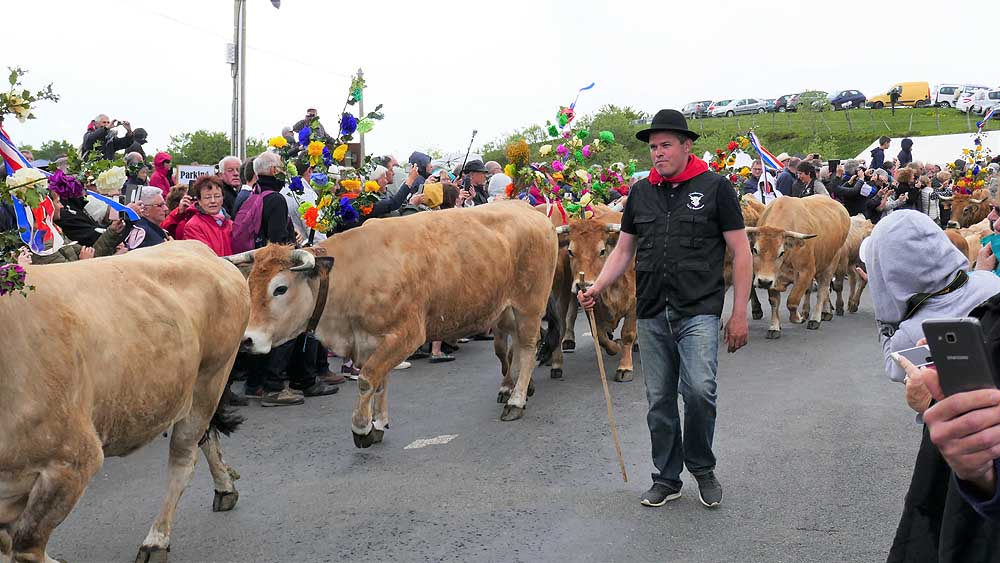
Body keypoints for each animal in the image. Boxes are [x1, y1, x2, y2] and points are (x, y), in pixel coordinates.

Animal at [0, 243, 248, 563]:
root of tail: (200, 249)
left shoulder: (72, 461)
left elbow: (27, 548)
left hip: (211, 379)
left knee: (184, 458)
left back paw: (156, 541)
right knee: (206, 438)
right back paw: (225, 486)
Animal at [229, 200, 560, 448]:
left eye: (280, 288)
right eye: (249, 284)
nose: (246, 340)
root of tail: (529, 209)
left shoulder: (407, 333)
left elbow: (367, 380)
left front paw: (362, 428)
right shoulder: (372, 341)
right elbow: (378, 380)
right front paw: (378, 423)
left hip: (530, 304)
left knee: (528, 346)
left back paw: (516, 400)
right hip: (506, 310)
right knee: (509, 348)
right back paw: (513, 387)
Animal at [748, 196, 848, 340]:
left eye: (781, 252)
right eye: (755, 250)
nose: (763, 282)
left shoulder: (806, 272)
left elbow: (792, 301)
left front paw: (797, 318)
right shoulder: (774, 278)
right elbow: (774, 302)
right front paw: (774, 327)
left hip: (831, 262)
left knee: (823, 289)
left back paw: (816, 318)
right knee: (813, 290)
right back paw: (813, 311)